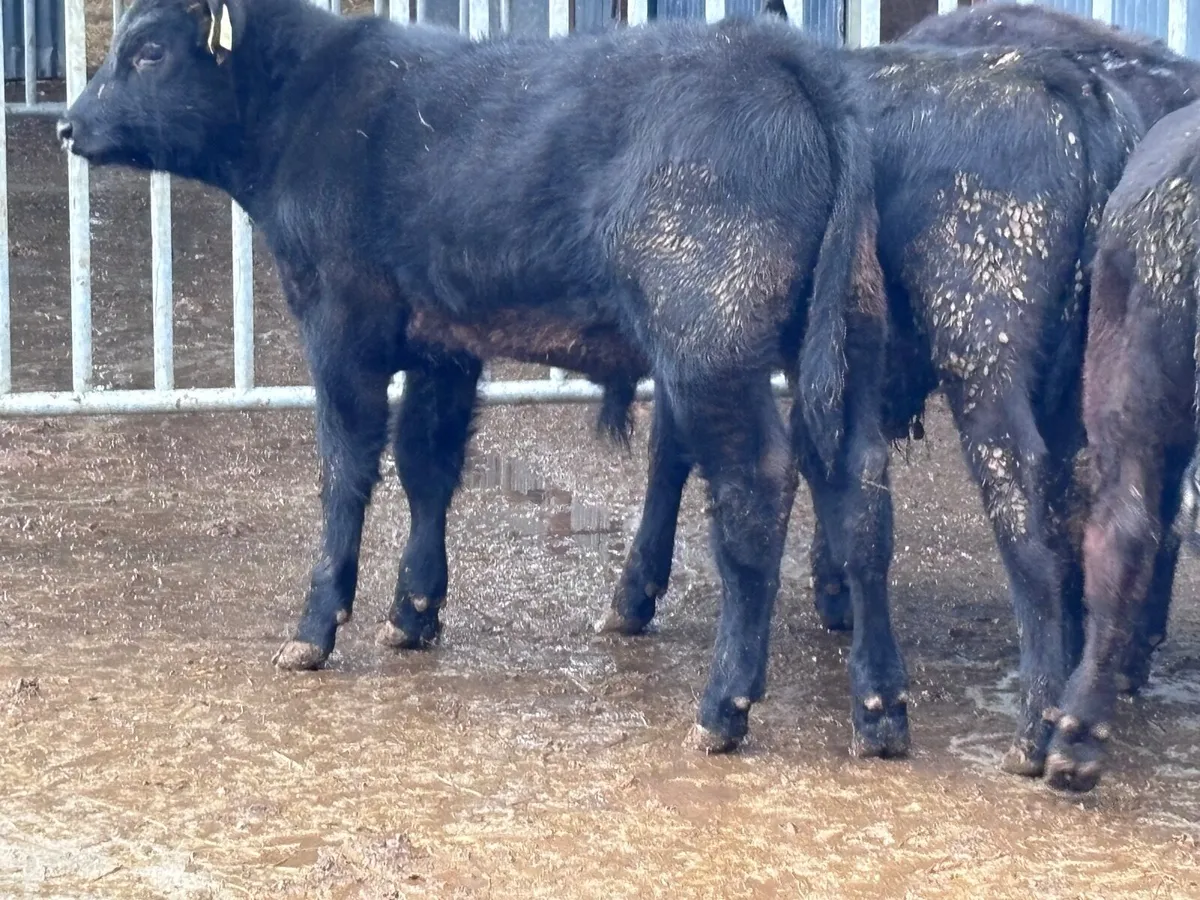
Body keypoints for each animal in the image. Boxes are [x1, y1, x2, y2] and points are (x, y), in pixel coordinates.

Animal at [57, 0, 910, 757]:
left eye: (150, 51)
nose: (68, 123)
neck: (308, 105)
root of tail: (776, 55)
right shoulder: (443, 341)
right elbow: (427, 465)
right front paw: (414, 608)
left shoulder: (340, 322)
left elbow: (345, 469)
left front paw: (315, 627)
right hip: (846, 341)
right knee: (859, 491)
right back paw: (879, 710)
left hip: (711, 346)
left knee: (756, 492)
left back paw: (725, 705)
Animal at [605, 0, 1145, 783]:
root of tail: (1061, 79)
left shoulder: (705, 335)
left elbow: (672, 450)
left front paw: (635, 592)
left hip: (981, 352)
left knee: (1027, 505)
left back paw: (1040, 728)